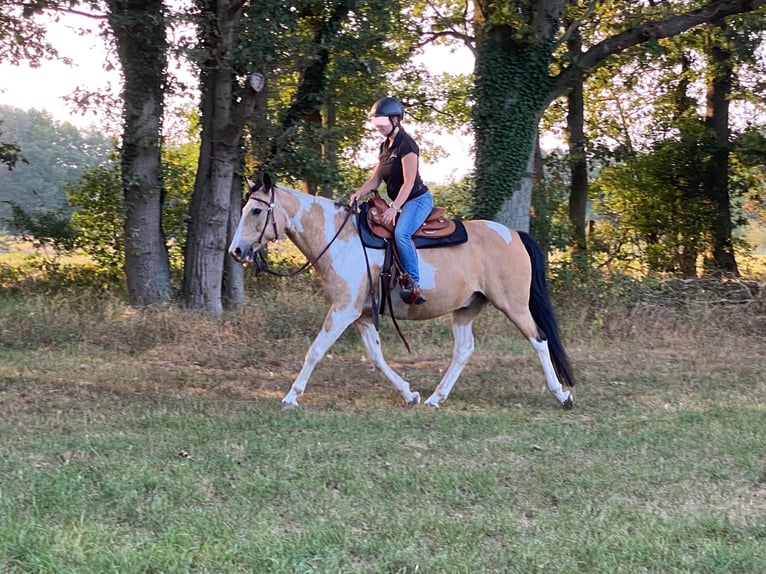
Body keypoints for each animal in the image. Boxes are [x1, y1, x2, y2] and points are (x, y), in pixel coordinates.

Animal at [228, 176, 576, 410]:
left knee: (539, 339)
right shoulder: (361, 315)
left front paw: (290, 396)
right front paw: (410, 393)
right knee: (464, 350)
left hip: (513, 305)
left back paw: (562, 394)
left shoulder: (343, 310)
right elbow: (377, 357)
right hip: (466, 308)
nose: (236, 251)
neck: (341, 241)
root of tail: (514, 234)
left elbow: (315, 351)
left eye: (256, 211)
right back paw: (436, 398)